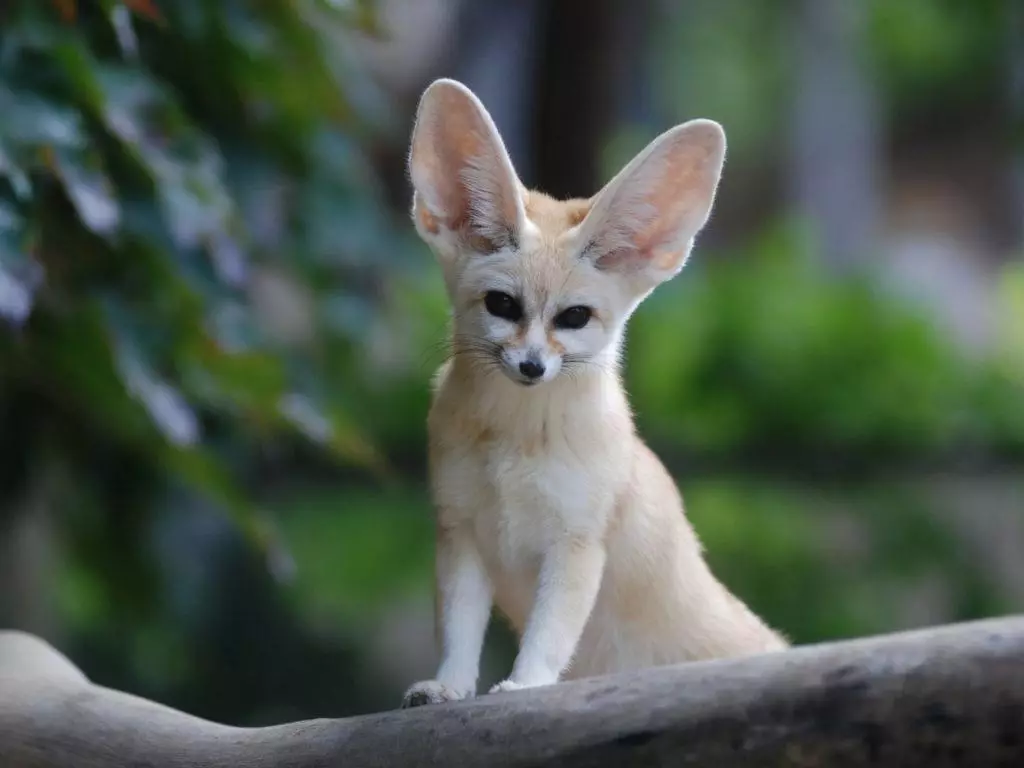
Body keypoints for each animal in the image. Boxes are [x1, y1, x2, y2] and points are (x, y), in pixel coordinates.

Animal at [399, 79, 782, 708]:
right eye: (502, 305)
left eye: (574, 317)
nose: (532, 366)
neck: (516, 444)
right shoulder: (461, 535)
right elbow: (458, 631)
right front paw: (448, 687)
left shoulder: (576, 544)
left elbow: (550, 634)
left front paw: (525, 686)